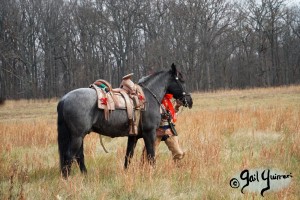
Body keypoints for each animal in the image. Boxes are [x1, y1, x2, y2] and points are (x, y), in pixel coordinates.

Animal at [56, 63, 192, 177]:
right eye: (182, 80)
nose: (189, 100)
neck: (148, 97)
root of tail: (64, 99)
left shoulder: (133, 136)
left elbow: (128, 156)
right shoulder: (149, 133)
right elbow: (151, 155)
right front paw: (153, 172)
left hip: (78, 136)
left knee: (79, 156)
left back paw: (85, 176)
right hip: (77, 136)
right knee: (69, 156)